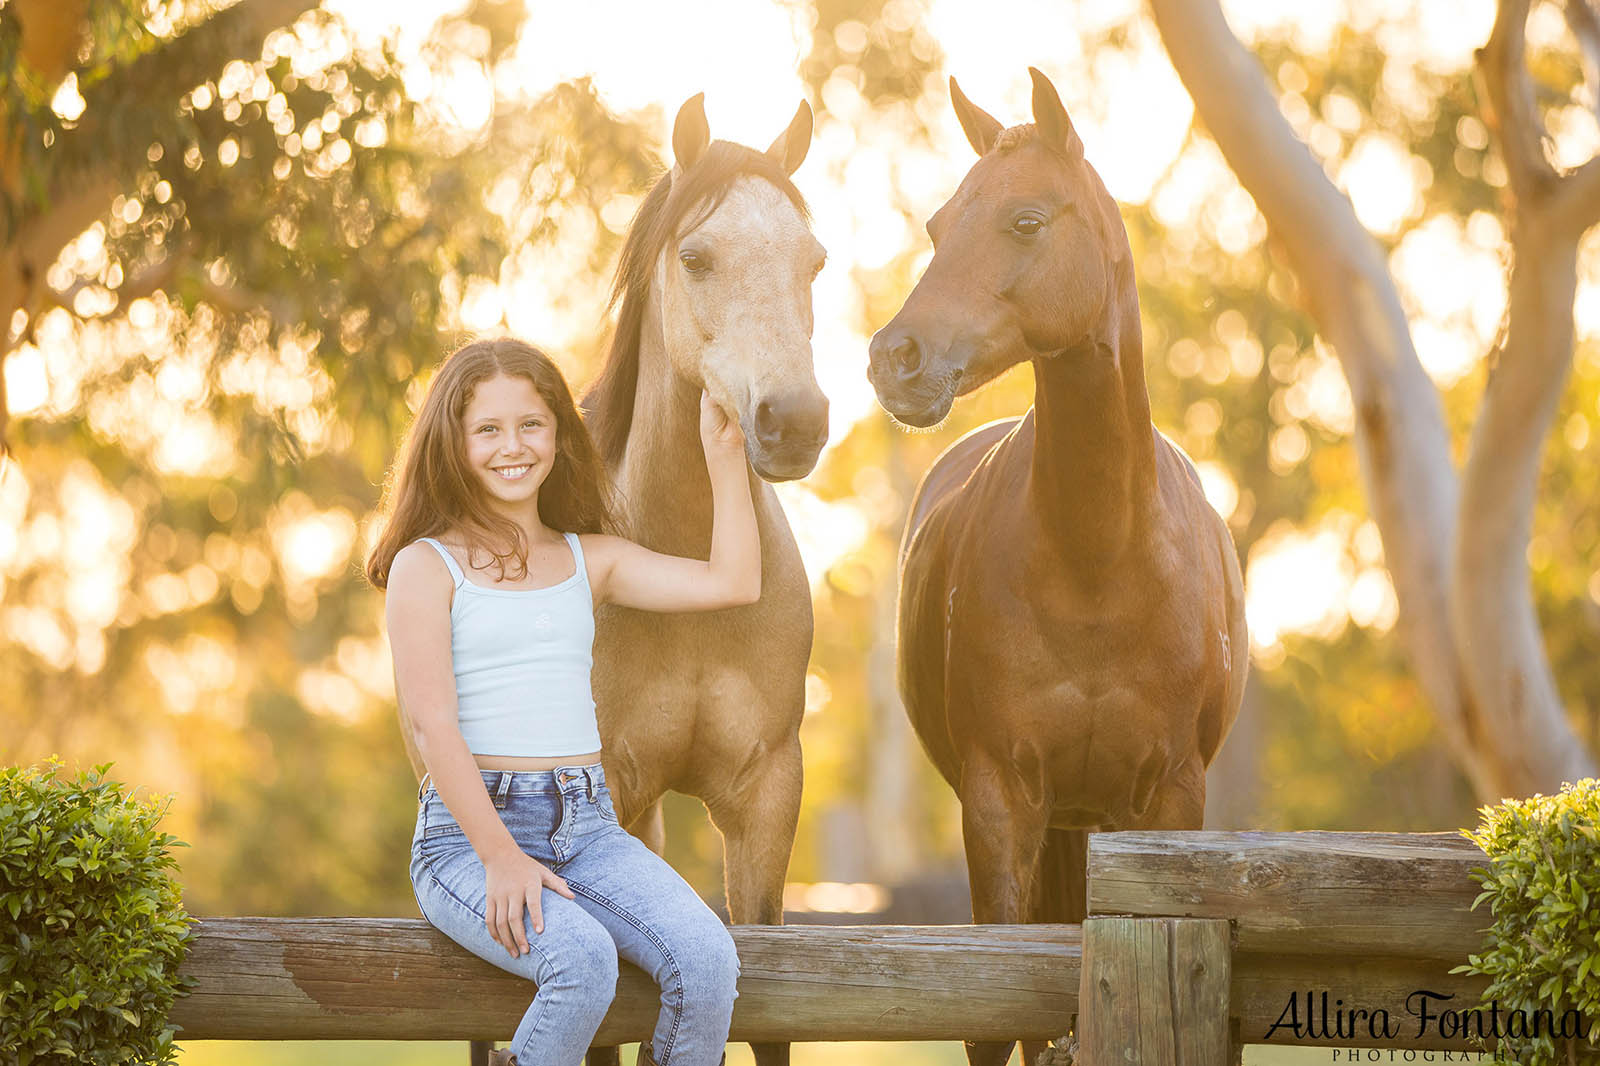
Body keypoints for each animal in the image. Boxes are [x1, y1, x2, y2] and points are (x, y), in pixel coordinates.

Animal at [870, 66, 1241, 1062]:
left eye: (1026, 220)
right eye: (937, 225)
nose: (894, 359)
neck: (1098, 562)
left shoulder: (1172, 804)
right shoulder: (1001, 803)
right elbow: (1000, 1013)